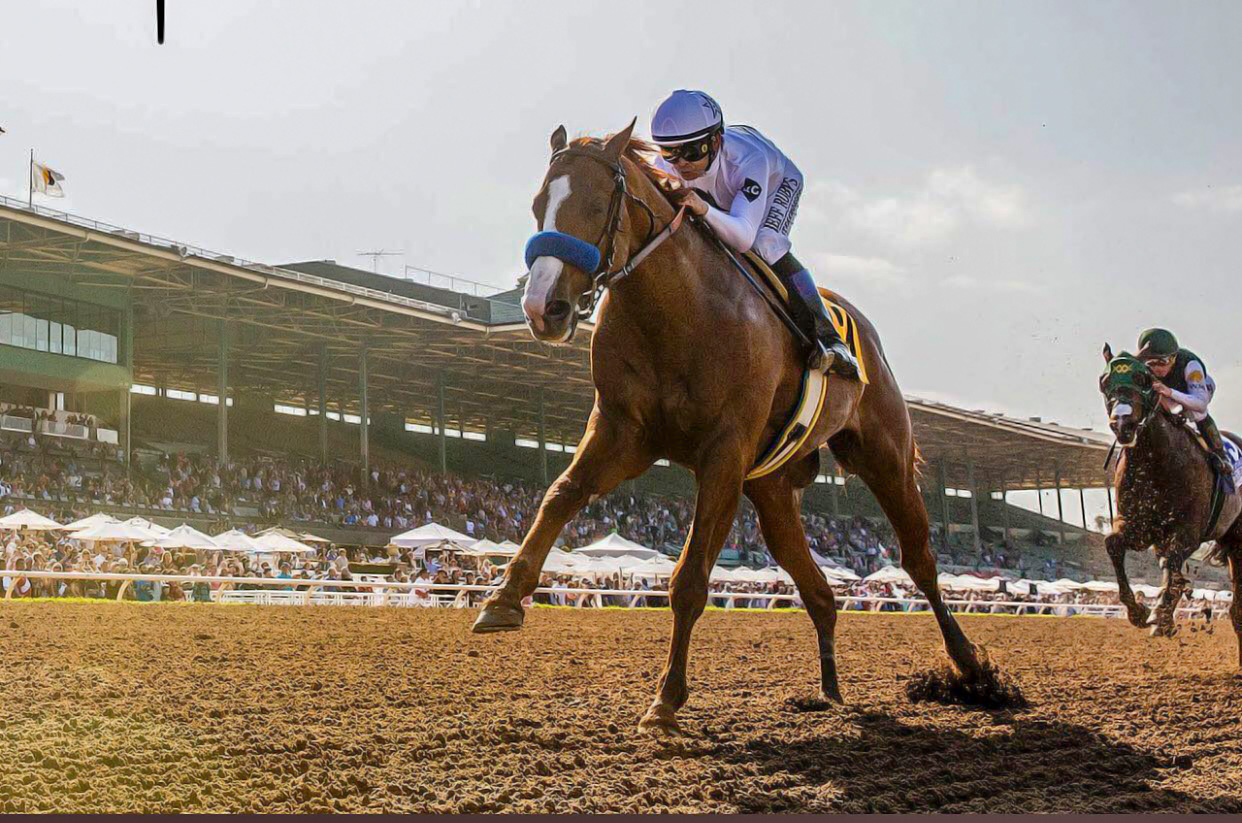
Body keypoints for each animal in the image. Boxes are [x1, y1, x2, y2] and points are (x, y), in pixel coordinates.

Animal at [469, 122, 993, 734]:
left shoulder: (724, 452)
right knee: (819, 592)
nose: (542, 308)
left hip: (883, 457)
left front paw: (666, 700)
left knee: (920, 560)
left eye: (597, 204)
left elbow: (691, 578)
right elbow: (560, 494)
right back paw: (830, 691)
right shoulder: (622, 431)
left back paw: (969, 667)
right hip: (772, 491)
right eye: (538, 206)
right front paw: (502, 599)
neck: (678, 310)